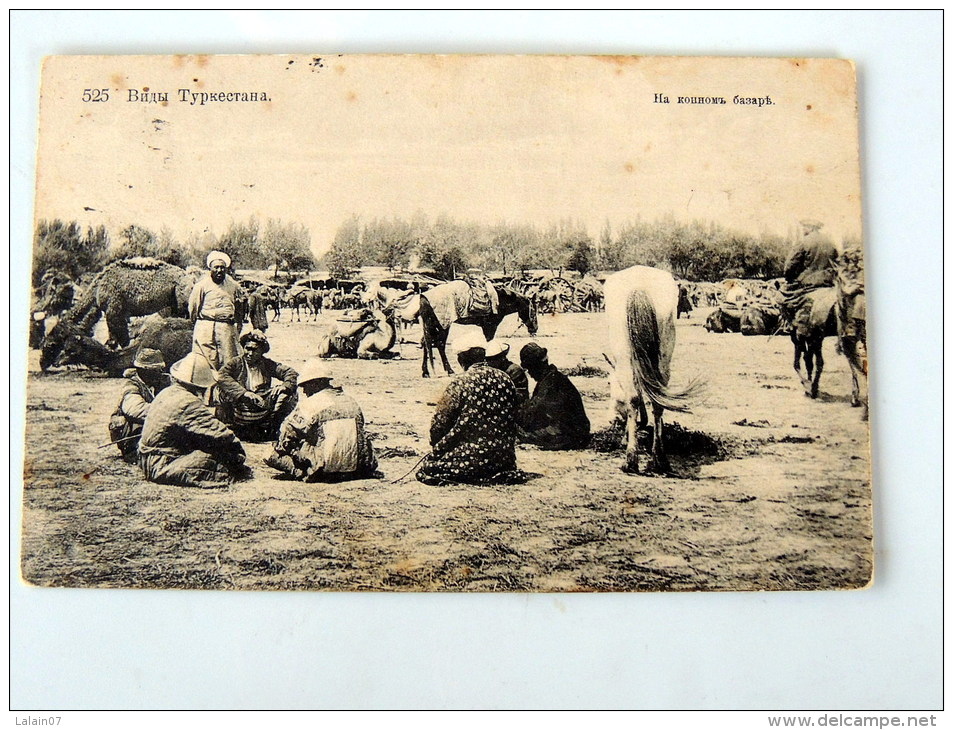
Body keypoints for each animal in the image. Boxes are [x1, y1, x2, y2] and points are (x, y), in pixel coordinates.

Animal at [41, 256, 195, 370]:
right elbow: (113, 340)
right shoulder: (111, 312)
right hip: (173, 304)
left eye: (51, 344)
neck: (97, 289)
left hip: (182, 301)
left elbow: (122, 339)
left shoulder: (115, 312)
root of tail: (190, 279)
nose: (42, 364)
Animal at [608, 264, 696, 474]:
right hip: (664, 359)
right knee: (658, 401)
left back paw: (631, 459)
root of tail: (639, 286)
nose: (611, 420)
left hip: (624, 360)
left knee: (633, 398)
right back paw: (659, 458)